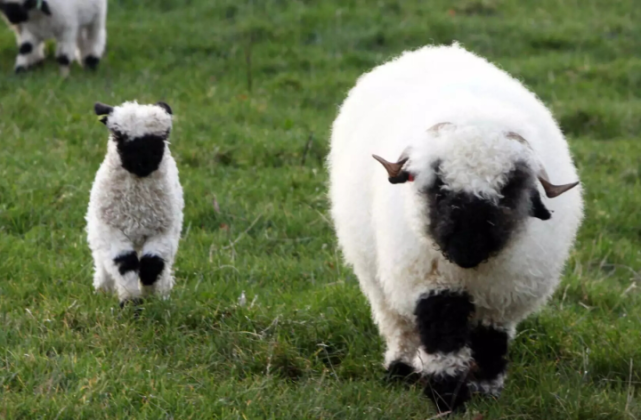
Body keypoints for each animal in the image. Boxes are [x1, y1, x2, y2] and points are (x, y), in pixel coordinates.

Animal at [86, 100, 184, 306]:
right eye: (119, 136)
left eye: (163, 137)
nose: (143, 163)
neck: (137, 206)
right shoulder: (111, 231)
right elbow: (124, 263)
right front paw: (130, 300)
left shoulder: (163, 230)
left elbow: (152, 263)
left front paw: (149, 294)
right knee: (102, 264)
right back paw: (103, 288)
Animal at [328, 43, 584, 414]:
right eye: (438, 187)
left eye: (508, 191)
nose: (466, 248)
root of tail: (435, 49)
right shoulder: (432, 282)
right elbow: (443, 338)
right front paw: (445, 398)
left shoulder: (503, 295)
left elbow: (491, 342)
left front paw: (484, 391)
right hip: (376, 273)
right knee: (398, 324)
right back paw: (399, 369)